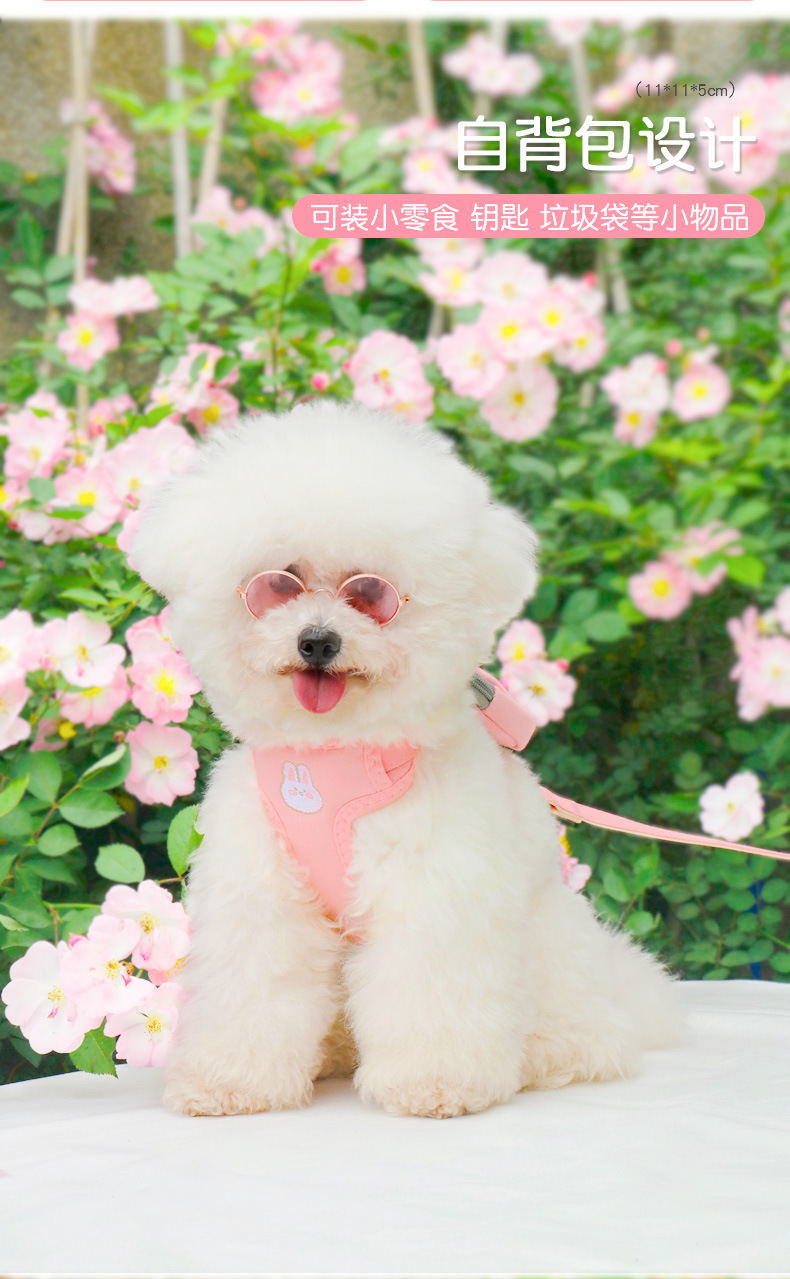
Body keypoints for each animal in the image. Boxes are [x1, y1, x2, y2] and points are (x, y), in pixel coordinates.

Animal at [132, 403, 682, 1118]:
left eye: (372, 593)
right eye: (278, 584)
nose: (317, 640)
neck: (335, 756)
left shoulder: (434, 888)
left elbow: (430, 989)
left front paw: (434, 1083)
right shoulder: (260, 892)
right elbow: (253, 985)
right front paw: (229, 1083)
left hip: (554, 958)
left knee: (580, 1038)